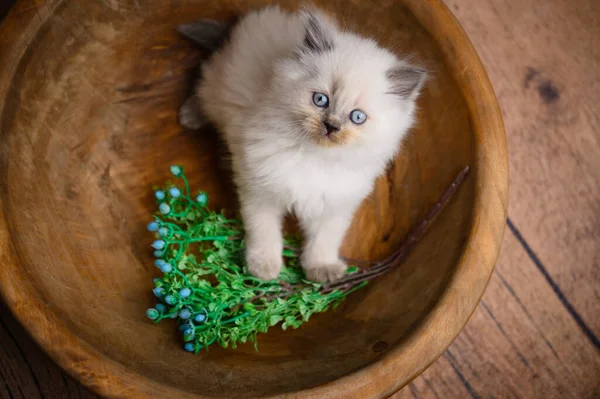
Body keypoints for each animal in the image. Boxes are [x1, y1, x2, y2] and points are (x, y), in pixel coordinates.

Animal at [183, 4, 426, 282]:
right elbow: (264, 231)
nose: (331, 126)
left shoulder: (334, 204)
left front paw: (321, 268)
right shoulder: (260, 190)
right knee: (203, 87)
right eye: (320, 100)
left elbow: (324, 240)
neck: (315, 157)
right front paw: (264, 267)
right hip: (218, 89)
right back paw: (189, 115)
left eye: (357, 117)